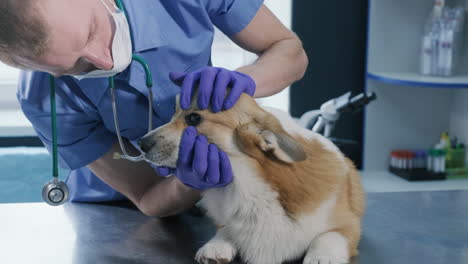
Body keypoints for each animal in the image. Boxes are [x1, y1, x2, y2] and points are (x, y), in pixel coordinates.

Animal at [139, 93, 366, 264]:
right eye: (174, 112)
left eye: (194, 118)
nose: (141, 144)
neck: (244, 186)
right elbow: (226, 228)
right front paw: (215, 247)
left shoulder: (348, 225)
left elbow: (328, 237)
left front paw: (321, 257)